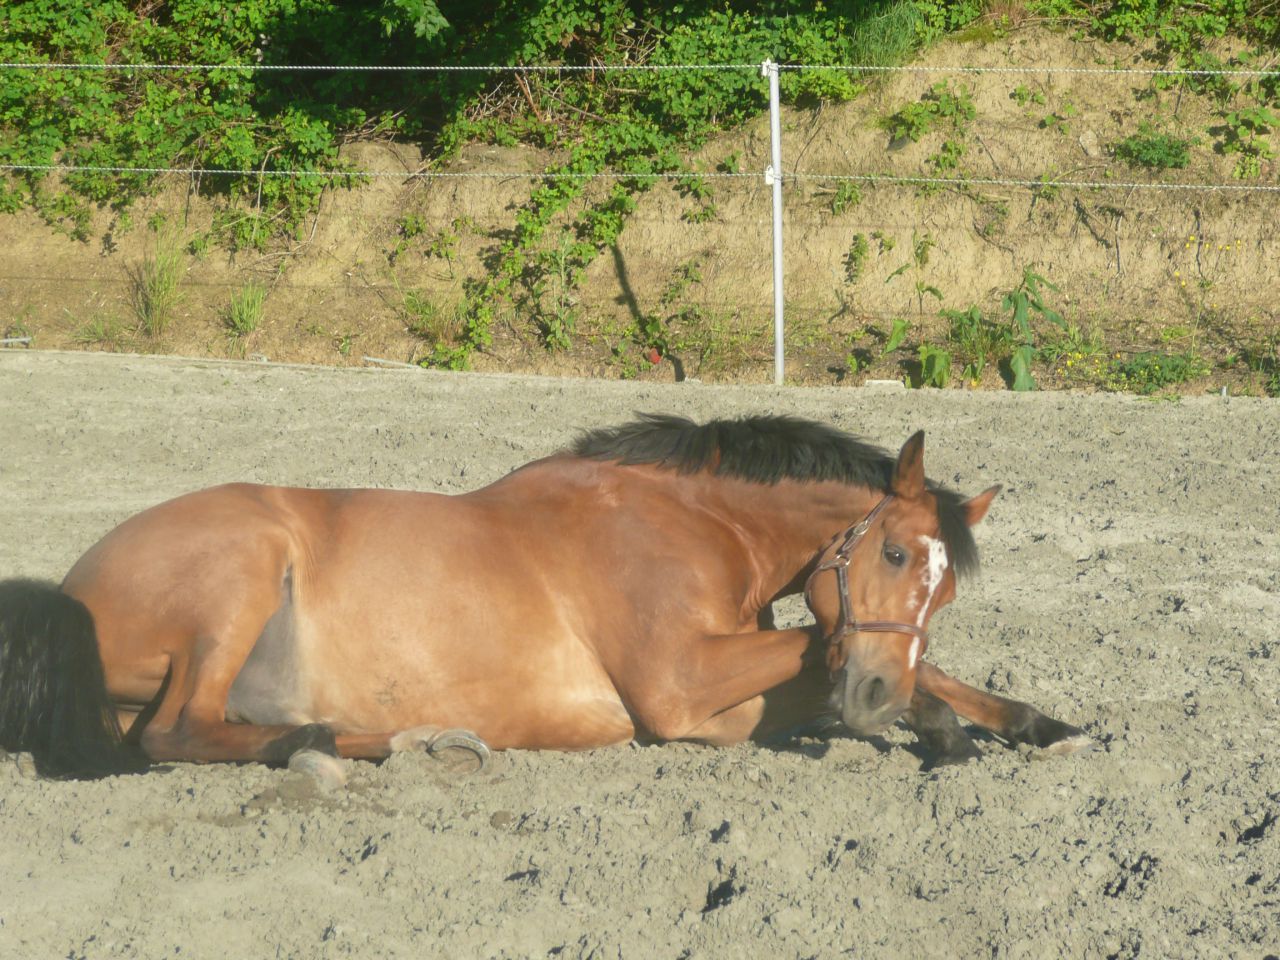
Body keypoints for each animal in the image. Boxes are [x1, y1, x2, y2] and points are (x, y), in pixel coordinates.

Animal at [0, 414, 1089, 782]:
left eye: (942, 593)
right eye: (896, 554)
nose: (871, 698)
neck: (688, 521)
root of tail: (73, 589)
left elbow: (922, 669)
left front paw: (1034, 723)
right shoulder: (680, 692)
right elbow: (825, 655)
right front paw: (937, 729)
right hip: (238, 572)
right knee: (172, 734)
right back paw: (327, 743)